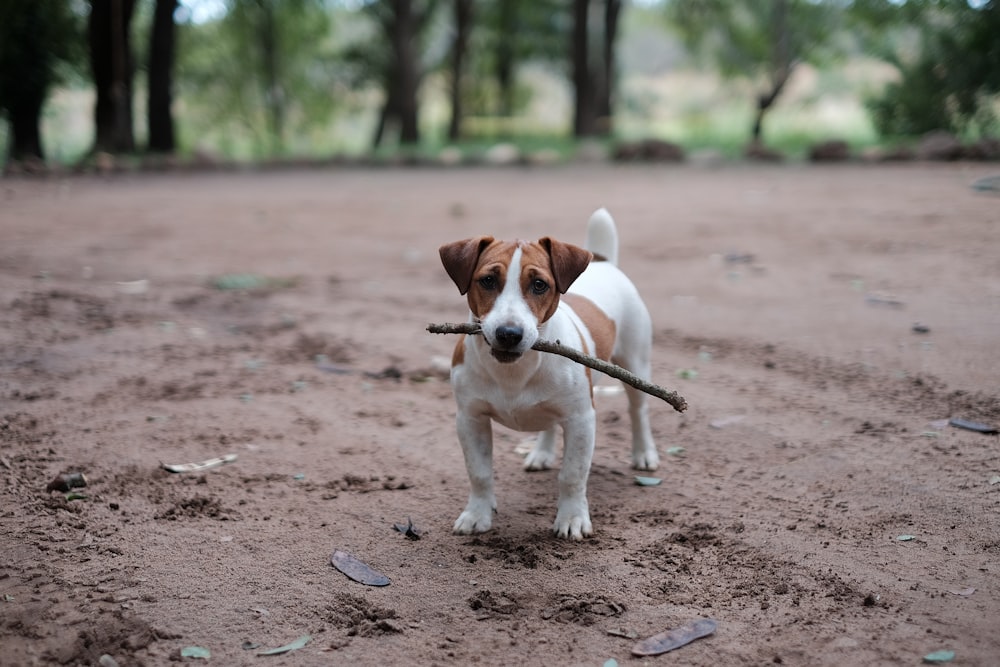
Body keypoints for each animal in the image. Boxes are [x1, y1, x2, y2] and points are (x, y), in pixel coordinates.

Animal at [436, 206, 656, 540]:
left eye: (539, 284)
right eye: (487, 280)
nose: (508, 334)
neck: (514, 371)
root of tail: (602, 261)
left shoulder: (581, 420)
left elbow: (572, 475)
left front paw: (572, 518)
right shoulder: (470, 419)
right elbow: (479, 472)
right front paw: (477, 515)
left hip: (635, 365)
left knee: (638, 411)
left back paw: (644, 453)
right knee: (549, 423)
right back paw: (541, 453)